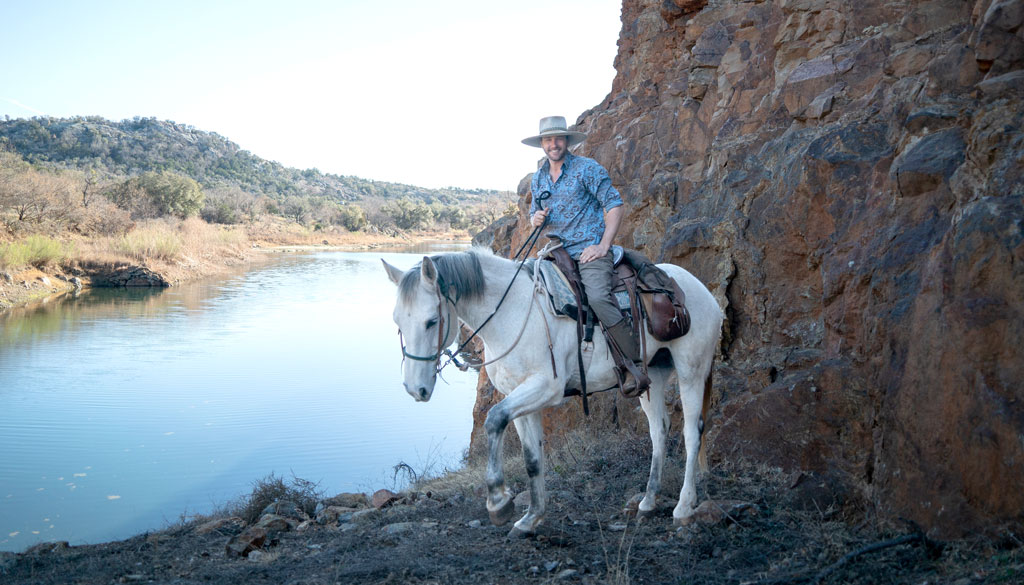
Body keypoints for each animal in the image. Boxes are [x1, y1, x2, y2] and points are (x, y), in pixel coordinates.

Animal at [380, 246, 724, 536]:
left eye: (431, 321)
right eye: (397, 321)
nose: (415, 388)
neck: (512, 312)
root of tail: (703, 293)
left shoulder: (545, 388)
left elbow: (494, 420)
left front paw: (498, 501)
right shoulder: (519, 397)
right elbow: (532, 458)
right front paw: (531, 518)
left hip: (691, 372)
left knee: (691, 433)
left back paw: (683, 507)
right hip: (653, 373)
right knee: (659, 431)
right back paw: (649, 502)